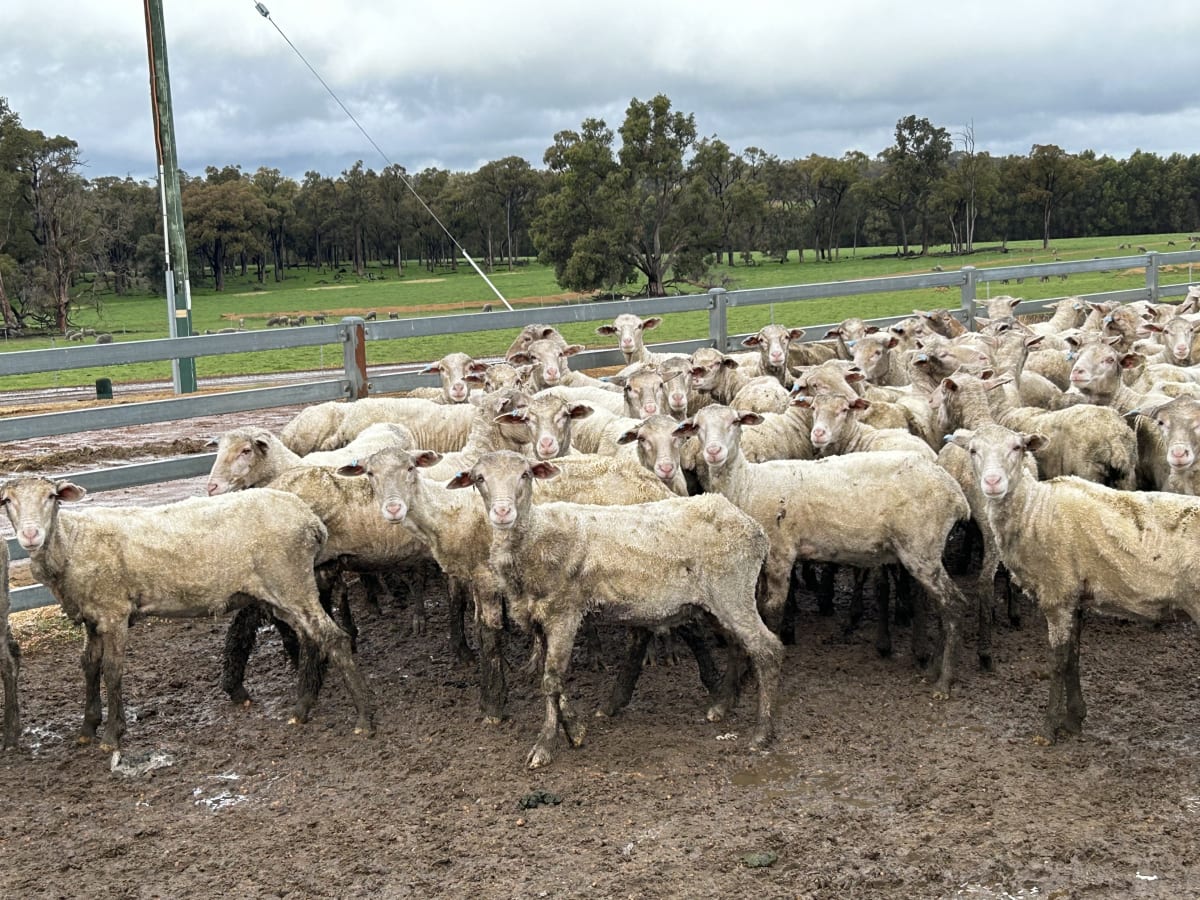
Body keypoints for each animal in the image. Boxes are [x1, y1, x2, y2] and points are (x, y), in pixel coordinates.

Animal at [0, 477, 374, 749]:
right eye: (7, 501)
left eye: (52, 497)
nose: (30, 535)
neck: (71, 542)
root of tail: (311, 520)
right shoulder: (92, 617)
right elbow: (89, 667)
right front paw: (86, 729)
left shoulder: (114, 612)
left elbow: (112, 671)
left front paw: (111, 736)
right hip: (286, 590)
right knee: (313, 640)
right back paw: (302, 709)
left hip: (289, 580)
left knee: (334, 639)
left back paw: (364, 718)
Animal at [448, 449, 783, 768]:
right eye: (479, 478)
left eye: (525, 474)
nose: (502, 512)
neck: (534, 536)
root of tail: (754, 528)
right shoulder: (539, 617)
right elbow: (553, 675)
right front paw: (575, 729)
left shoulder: (564, 612)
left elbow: (551, 679)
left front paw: (545, 745)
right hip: (716, 603)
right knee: (739, 646)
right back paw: (722, 706)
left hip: (732, 591)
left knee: (767, 650)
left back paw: (762, 733)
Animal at [679, 404, 973, 696]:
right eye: (697, 426)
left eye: (735, 422)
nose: (713, 451)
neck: (748, 485)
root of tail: (956, 493)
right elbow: (761, 608)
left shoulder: (780, 553)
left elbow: (772, 610)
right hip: (926, 548)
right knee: (941, 604)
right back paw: (933, 668)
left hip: (921, 547)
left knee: (954, 604)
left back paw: (944, 680)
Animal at [949, 423, 1200, 742]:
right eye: (973, 450)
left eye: (1017, 448)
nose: (993, 482)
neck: (1035, 511)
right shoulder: (1074, 596)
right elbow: (1073, 655)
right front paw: (1074, 719)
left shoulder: (1056, 593)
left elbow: (1057, 661)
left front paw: (1048, 730)